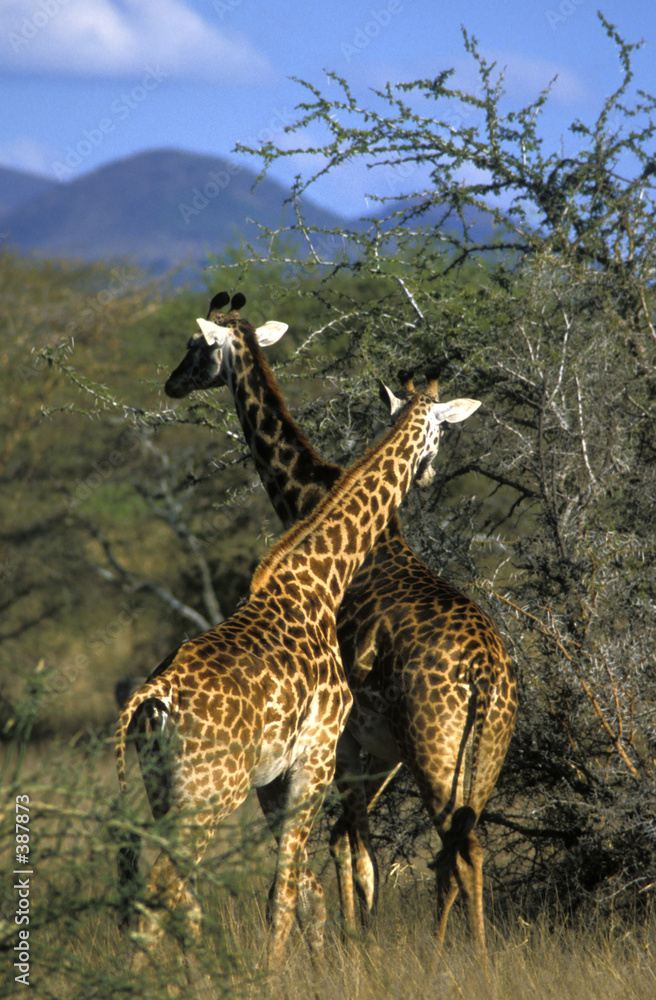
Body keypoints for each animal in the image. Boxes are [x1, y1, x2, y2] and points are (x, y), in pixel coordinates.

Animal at [164, 292, 518, 965]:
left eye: (196, 346)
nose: (171, 382)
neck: (308, 495)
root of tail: (485, 673)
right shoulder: (369, 750)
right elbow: (356, 848)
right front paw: (358, 943)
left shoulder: (346, 741)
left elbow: (344, 848)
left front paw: (349, 948)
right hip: (484, 758)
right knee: (462, 849)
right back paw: (467, 954)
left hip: (433, 751)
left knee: (456, 851)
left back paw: (454, 959)